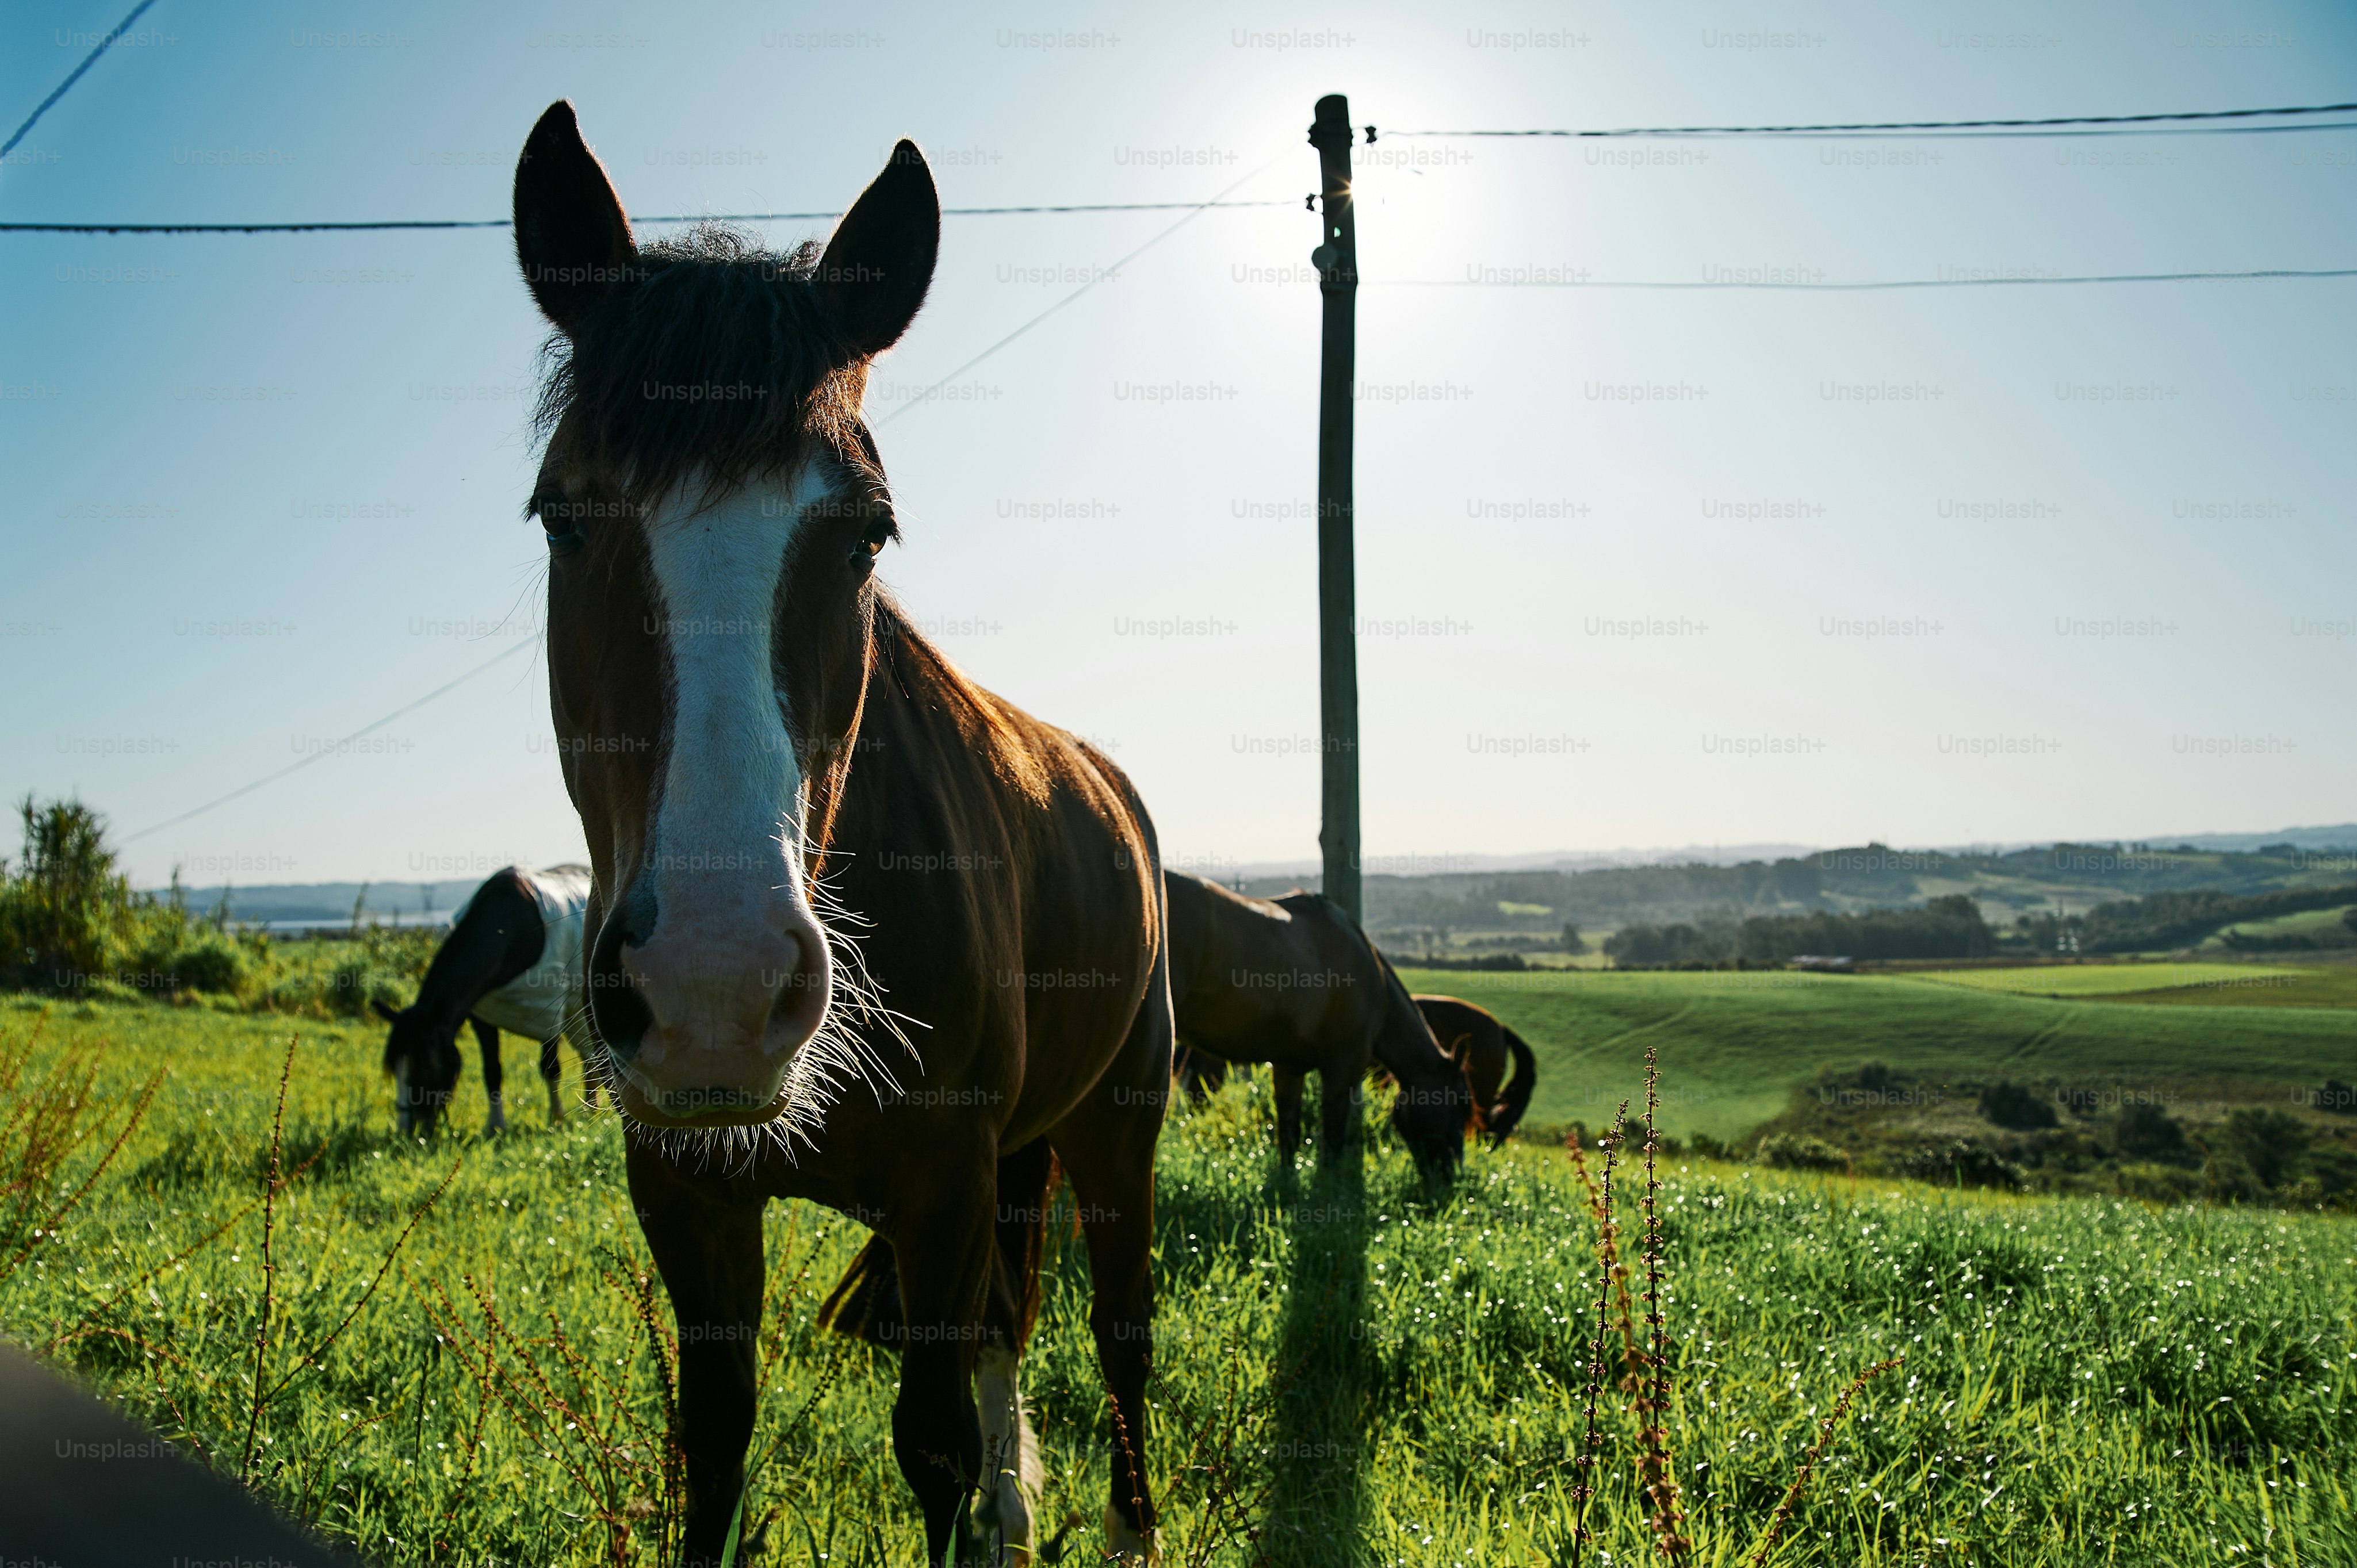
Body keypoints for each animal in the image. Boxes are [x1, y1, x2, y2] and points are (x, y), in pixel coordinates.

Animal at [367, 864, 600, 1136]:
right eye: (395, 1067)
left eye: (425, 1065)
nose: (406, 1131)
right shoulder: (483, 1016)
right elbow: (492, 1071)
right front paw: (496, 1127)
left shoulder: (548, 1013)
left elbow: (551, 1068)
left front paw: (557, 1120)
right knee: (589, 1055)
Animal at [511, 103, 1170, 1568]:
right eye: (563, 513)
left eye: (868, 530)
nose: (712, 991)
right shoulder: (687, 1188)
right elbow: (714, 1443)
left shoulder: (941, 1177)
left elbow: (929, 1440)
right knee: (1011, 1321)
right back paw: (1014, 1514)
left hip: (1118, 1123)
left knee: (1116, 1332)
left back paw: (1124, 1523)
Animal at [1164, 870, 1469, 1180]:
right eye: (1462, 1105)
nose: (1451, 1175)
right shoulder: (1343, 1069)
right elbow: (1332, 1137)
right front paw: (1329, 1183)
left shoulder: (1288, 1067)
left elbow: (1289, 1132)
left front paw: (1287, 1181)